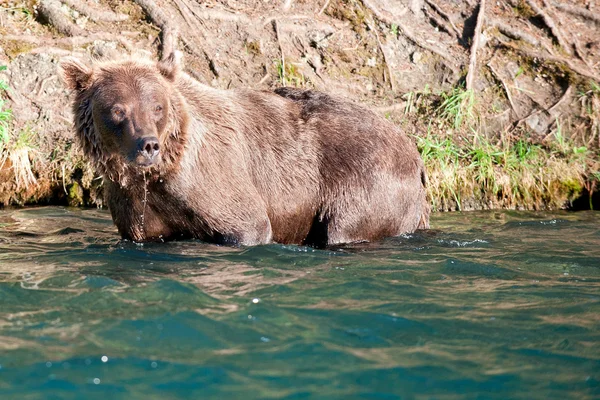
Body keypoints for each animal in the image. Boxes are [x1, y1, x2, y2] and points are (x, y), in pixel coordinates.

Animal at [58, 52, 428, 247]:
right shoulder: (137, 205)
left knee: (343, 229)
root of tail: (414, 151)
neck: (160, 176)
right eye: (118, 110)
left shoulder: (213, 177)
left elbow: (247, 223)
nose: (148, 145)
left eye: (157, 106)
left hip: (365, 183)